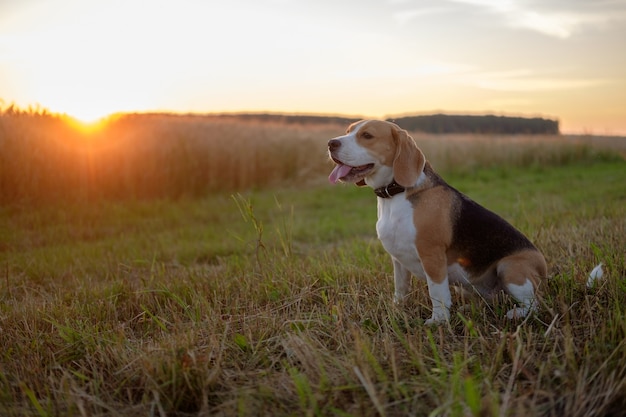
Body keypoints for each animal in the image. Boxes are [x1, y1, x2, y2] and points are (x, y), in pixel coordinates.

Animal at [330, 118, 544, 324]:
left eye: (367, 135)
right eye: (348, 131)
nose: (331, 143)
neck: (394, 196)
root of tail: (544, 267)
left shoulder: (432, 256)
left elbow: (437, 292)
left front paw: (438, 320)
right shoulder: (398, 260)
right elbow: (400, 289)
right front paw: (396, 309)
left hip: (509, 268)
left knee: (533, 305)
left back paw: (516, 314)